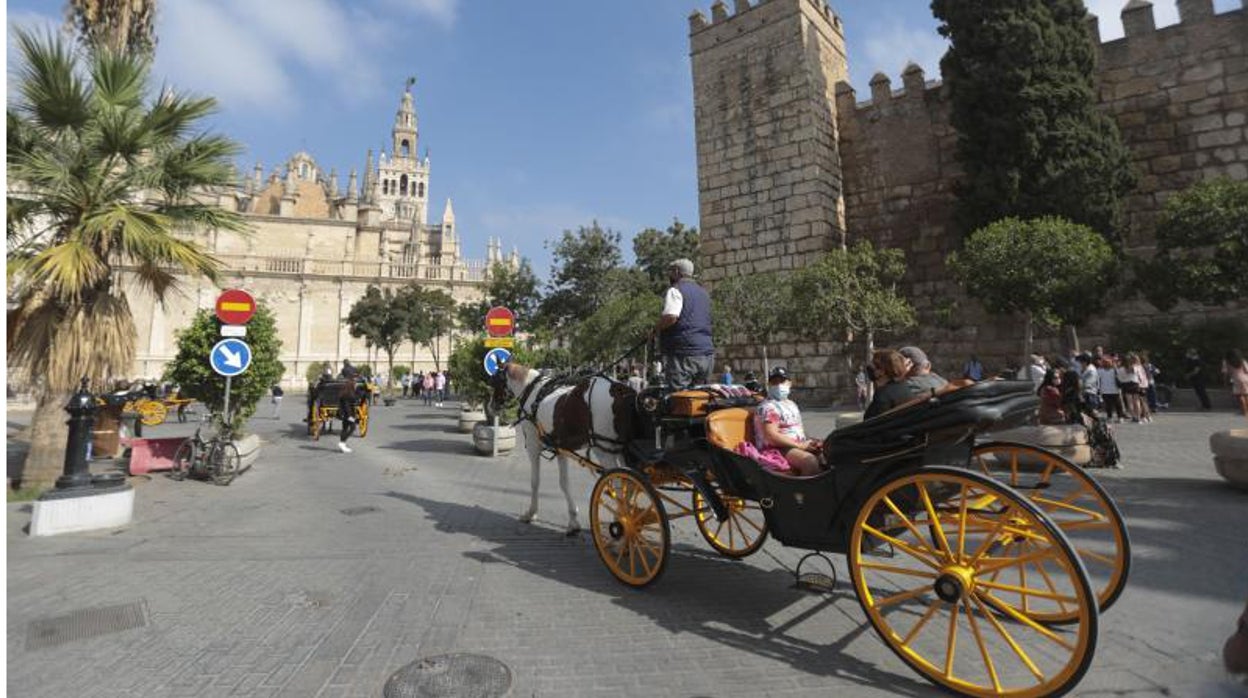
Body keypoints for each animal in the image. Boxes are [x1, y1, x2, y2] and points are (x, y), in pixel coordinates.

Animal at [489, 359, 643, 534]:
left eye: (495, 380)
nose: (491, 406)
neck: (532, 391)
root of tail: (620, 390)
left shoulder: (534, 445)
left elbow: (535, 481)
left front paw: (531, 513)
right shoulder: (560, 448)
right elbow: (564, 483)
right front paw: (573, 520)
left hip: (605, 451)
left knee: (618, 485)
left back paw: (622, 521)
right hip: (622, 450)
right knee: (630, 484)